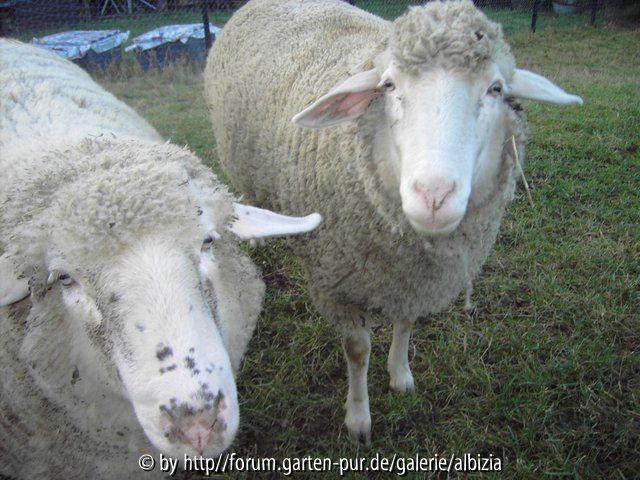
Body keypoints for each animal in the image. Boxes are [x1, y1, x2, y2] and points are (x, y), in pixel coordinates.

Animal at [205, 0, 583, 443]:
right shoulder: (339, 286)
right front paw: (358, 418)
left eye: (496, 89)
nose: (433, 195)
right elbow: (358, 352)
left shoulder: (412, 280)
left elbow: (406, 322)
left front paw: (400, 376)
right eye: (388, 86)